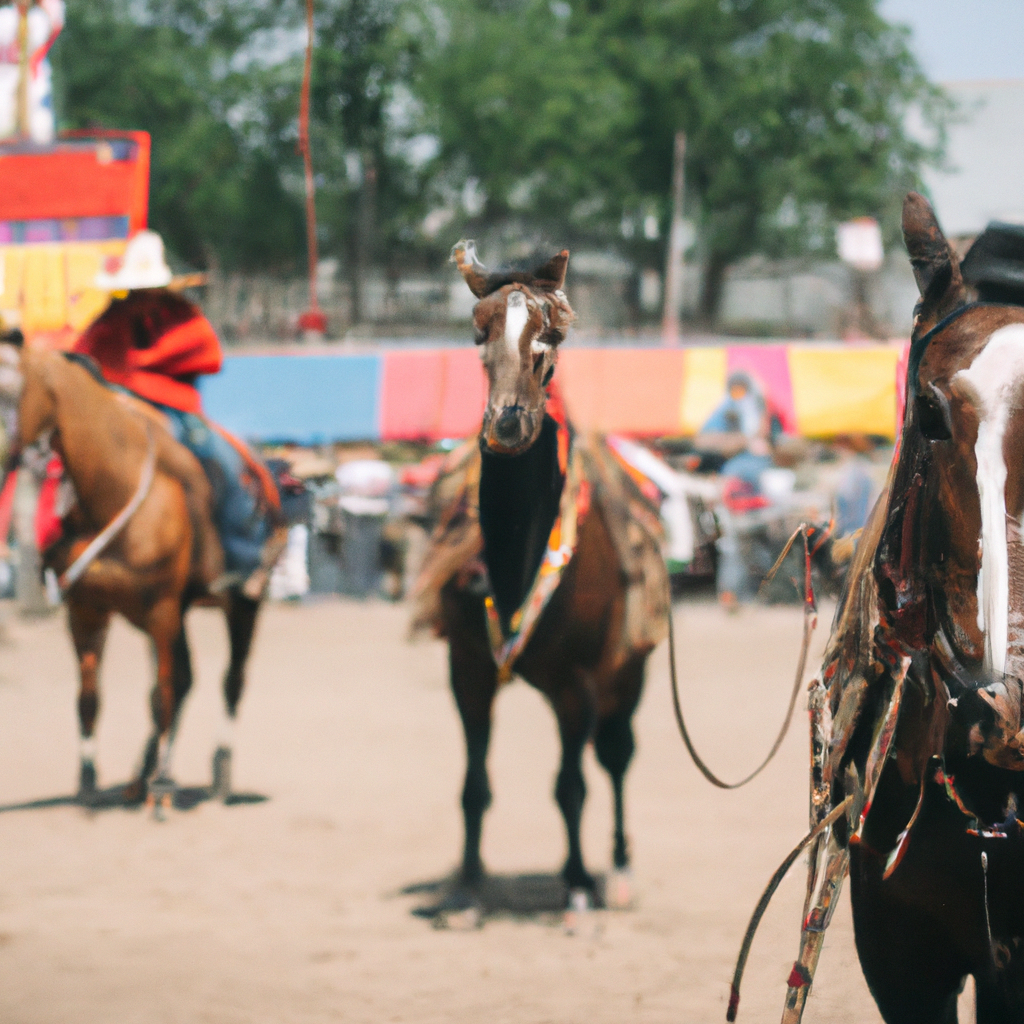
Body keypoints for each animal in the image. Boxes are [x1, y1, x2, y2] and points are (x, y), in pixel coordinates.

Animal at [0, 344, 276, 806]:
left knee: (229, 682)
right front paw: (88, 783)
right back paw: (139, 778)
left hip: (242, 605)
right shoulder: (86, 609)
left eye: (7, 388)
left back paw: (213, 773)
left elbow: (162, 696)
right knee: (183, 680)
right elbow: (90, 699)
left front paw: (162, 789)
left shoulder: (162, 609)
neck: (113, 489)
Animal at [411, 241, 667, 913]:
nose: (507, 425)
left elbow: (571, 785)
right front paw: (467, 889)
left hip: (624, 674)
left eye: (551, 334)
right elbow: (475, 785)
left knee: (616, 756)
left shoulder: (580, 680)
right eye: (479, 332)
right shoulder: (469, 671)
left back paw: (618, 872)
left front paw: (577, 888)